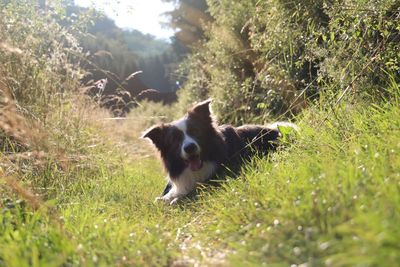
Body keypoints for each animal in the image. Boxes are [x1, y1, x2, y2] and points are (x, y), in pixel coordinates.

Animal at [141, 99, 296, 206]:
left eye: (195, 131)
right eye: (175, 140)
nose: (190, 147)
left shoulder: (223, 175)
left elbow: (196, 189)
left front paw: (177, 199)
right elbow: (163, 197)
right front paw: (166, 198)